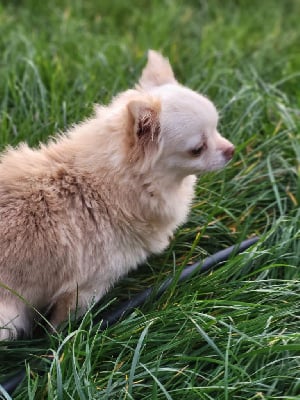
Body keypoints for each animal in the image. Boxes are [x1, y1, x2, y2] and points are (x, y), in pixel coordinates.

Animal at [0, 49, 234, 338]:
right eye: (197, 149)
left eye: (217, 130)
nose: (231, 150)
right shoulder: (86, 288)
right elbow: (63, 323)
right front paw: (63, 339)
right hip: (7, 318)